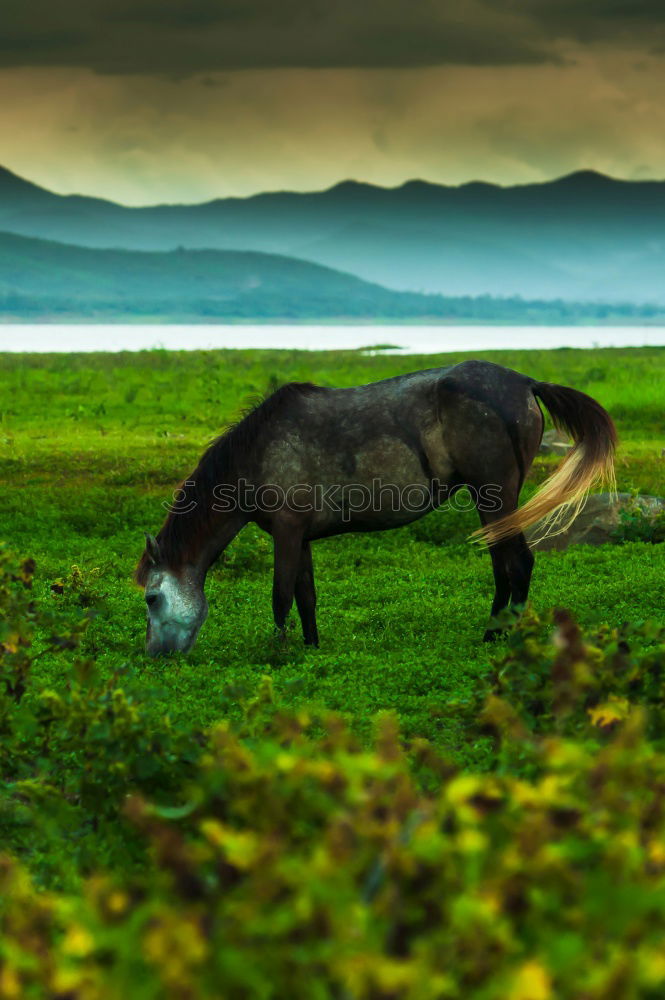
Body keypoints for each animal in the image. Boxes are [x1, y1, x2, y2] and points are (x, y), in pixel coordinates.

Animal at [135, 360, 616, 656]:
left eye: (152, 598)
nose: (156, 655)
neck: (256, 455)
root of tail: (526, 382)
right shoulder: (300, 536)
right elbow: (306, 596)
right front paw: (310, 648)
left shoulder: (287, 532)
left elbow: (280, 596)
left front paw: (277, 653)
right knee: (506, 565)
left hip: (494, 495)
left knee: (515, 563)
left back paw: (497, 636)